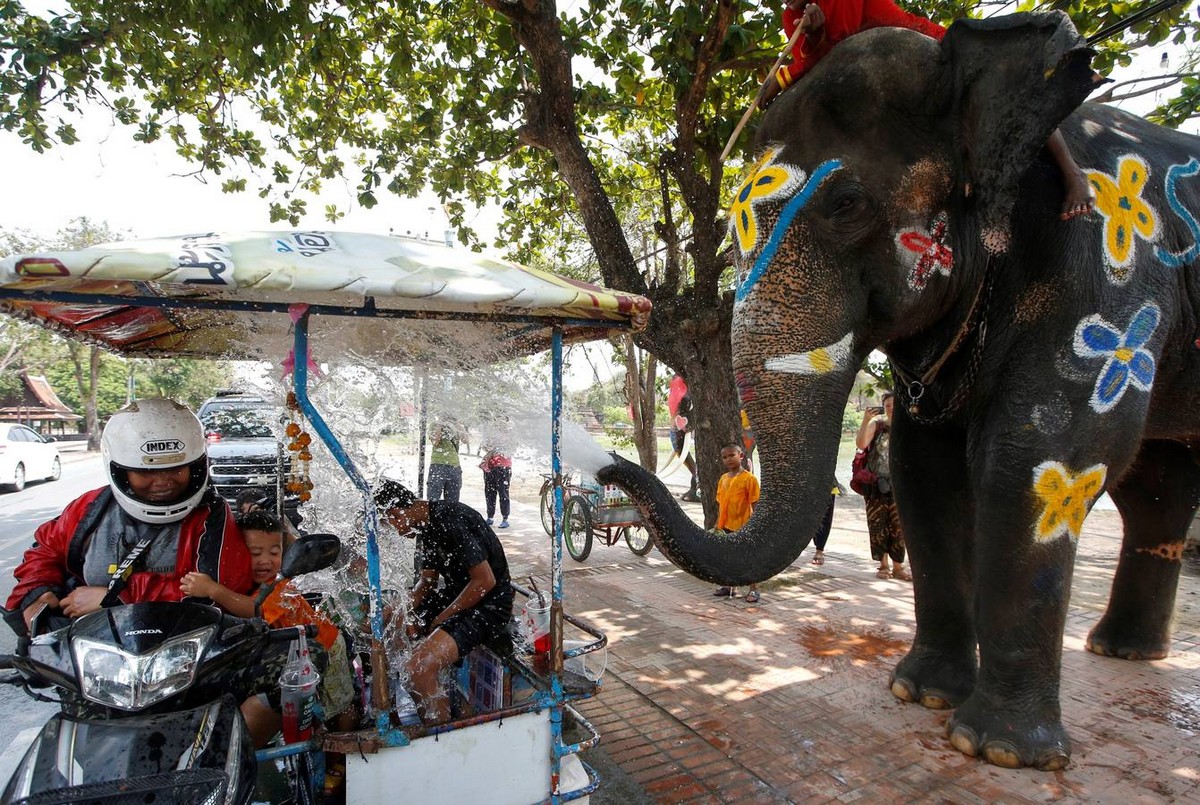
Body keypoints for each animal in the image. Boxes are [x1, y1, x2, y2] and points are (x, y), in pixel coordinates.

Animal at [600, 7, 1200, 772]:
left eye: (847, 203)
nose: (607, 467)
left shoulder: (1110, 274)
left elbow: (1039, 459)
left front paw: (999, 750)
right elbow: (924, 473)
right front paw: (920, 694)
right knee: (1157, 487)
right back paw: (1122, 650)